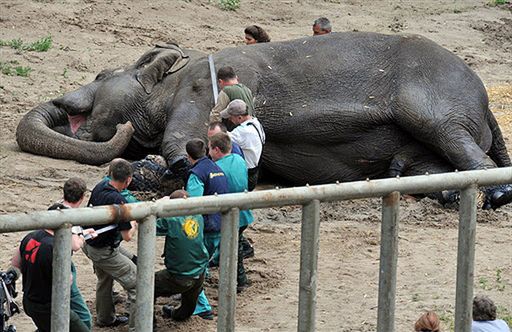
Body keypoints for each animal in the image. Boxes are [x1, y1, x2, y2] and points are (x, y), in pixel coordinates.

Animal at [15, 31, 512, 208]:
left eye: (101, 75)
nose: (62, 100)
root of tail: (487, 104)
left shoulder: (201, 84)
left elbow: (183, 145)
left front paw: (174, 167)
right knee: (427, 164)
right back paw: (450, 194)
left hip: (440, 99)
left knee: (454, 139)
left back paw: (495, 195)